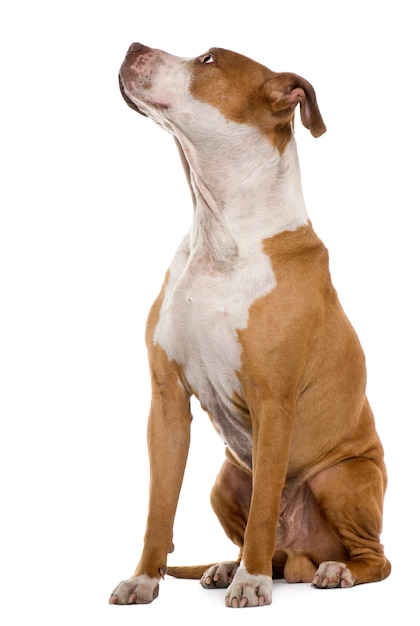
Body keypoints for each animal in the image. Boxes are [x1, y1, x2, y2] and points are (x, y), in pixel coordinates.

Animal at [110, 42, 390, 604]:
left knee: (375, 557)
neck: (218, 232)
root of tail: (304, 555)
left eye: (208, 59)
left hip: (341, 479)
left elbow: (264, 507)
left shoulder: (273, 401)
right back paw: (229, 566)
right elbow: (158, 506)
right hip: (225, 479)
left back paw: (331, 571)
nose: (132, 46)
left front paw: (252, 584)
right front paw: (144, 579)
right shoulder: (166, 401)